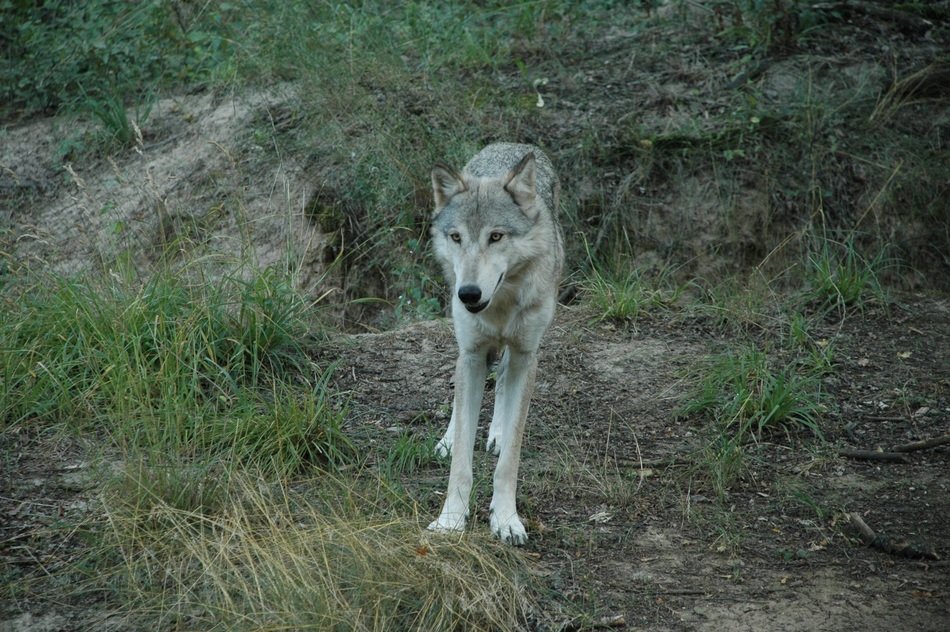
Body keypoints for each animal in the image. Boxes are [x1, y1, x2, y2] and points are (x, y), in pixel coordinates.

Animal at [427, 143, 563, 545]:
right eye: (457, 237)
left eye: (496, 237)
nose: (468, 293)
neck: (500, 305)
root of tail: (510, 144)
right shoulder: (472, 354)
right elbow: (461, 461)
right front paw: (451, 520)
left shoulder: (526, 356)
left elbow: (509, 462)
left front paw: (505, 520)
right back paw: (449, 438)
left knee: (501, 379)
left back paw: (497, 433)